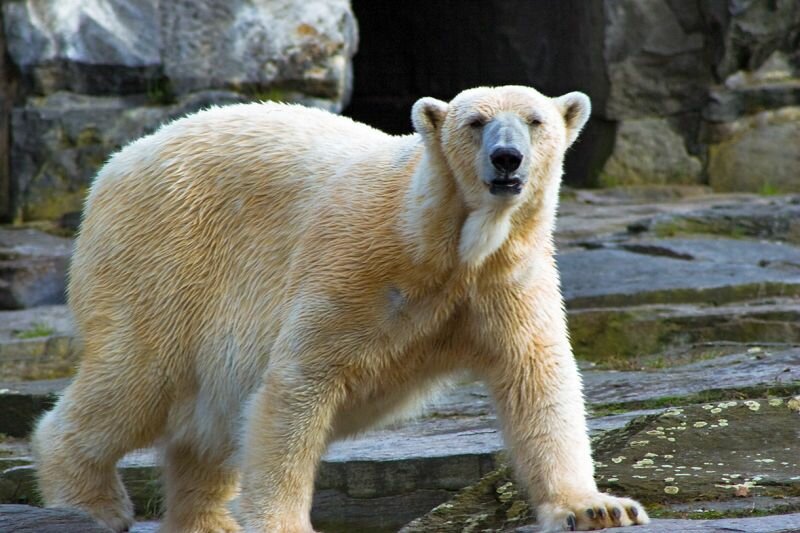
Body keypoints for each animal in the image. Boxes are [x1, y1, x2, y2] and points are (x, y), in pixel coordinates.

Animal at [34, 85, 648, 528]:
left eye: (536, 121)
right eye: (475, 123)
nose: (506, 158)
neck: (441, 243)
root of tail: (114, 165)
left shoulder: (506, 278)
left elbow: (537, 377)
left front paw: (596, 507)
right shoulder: (354, 263)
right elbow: (296, 384)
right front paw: (282, 521)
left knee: (204, 427)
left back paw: (206, 521)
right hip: (163, 257)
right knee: (137, 379)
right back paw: (91, 503)